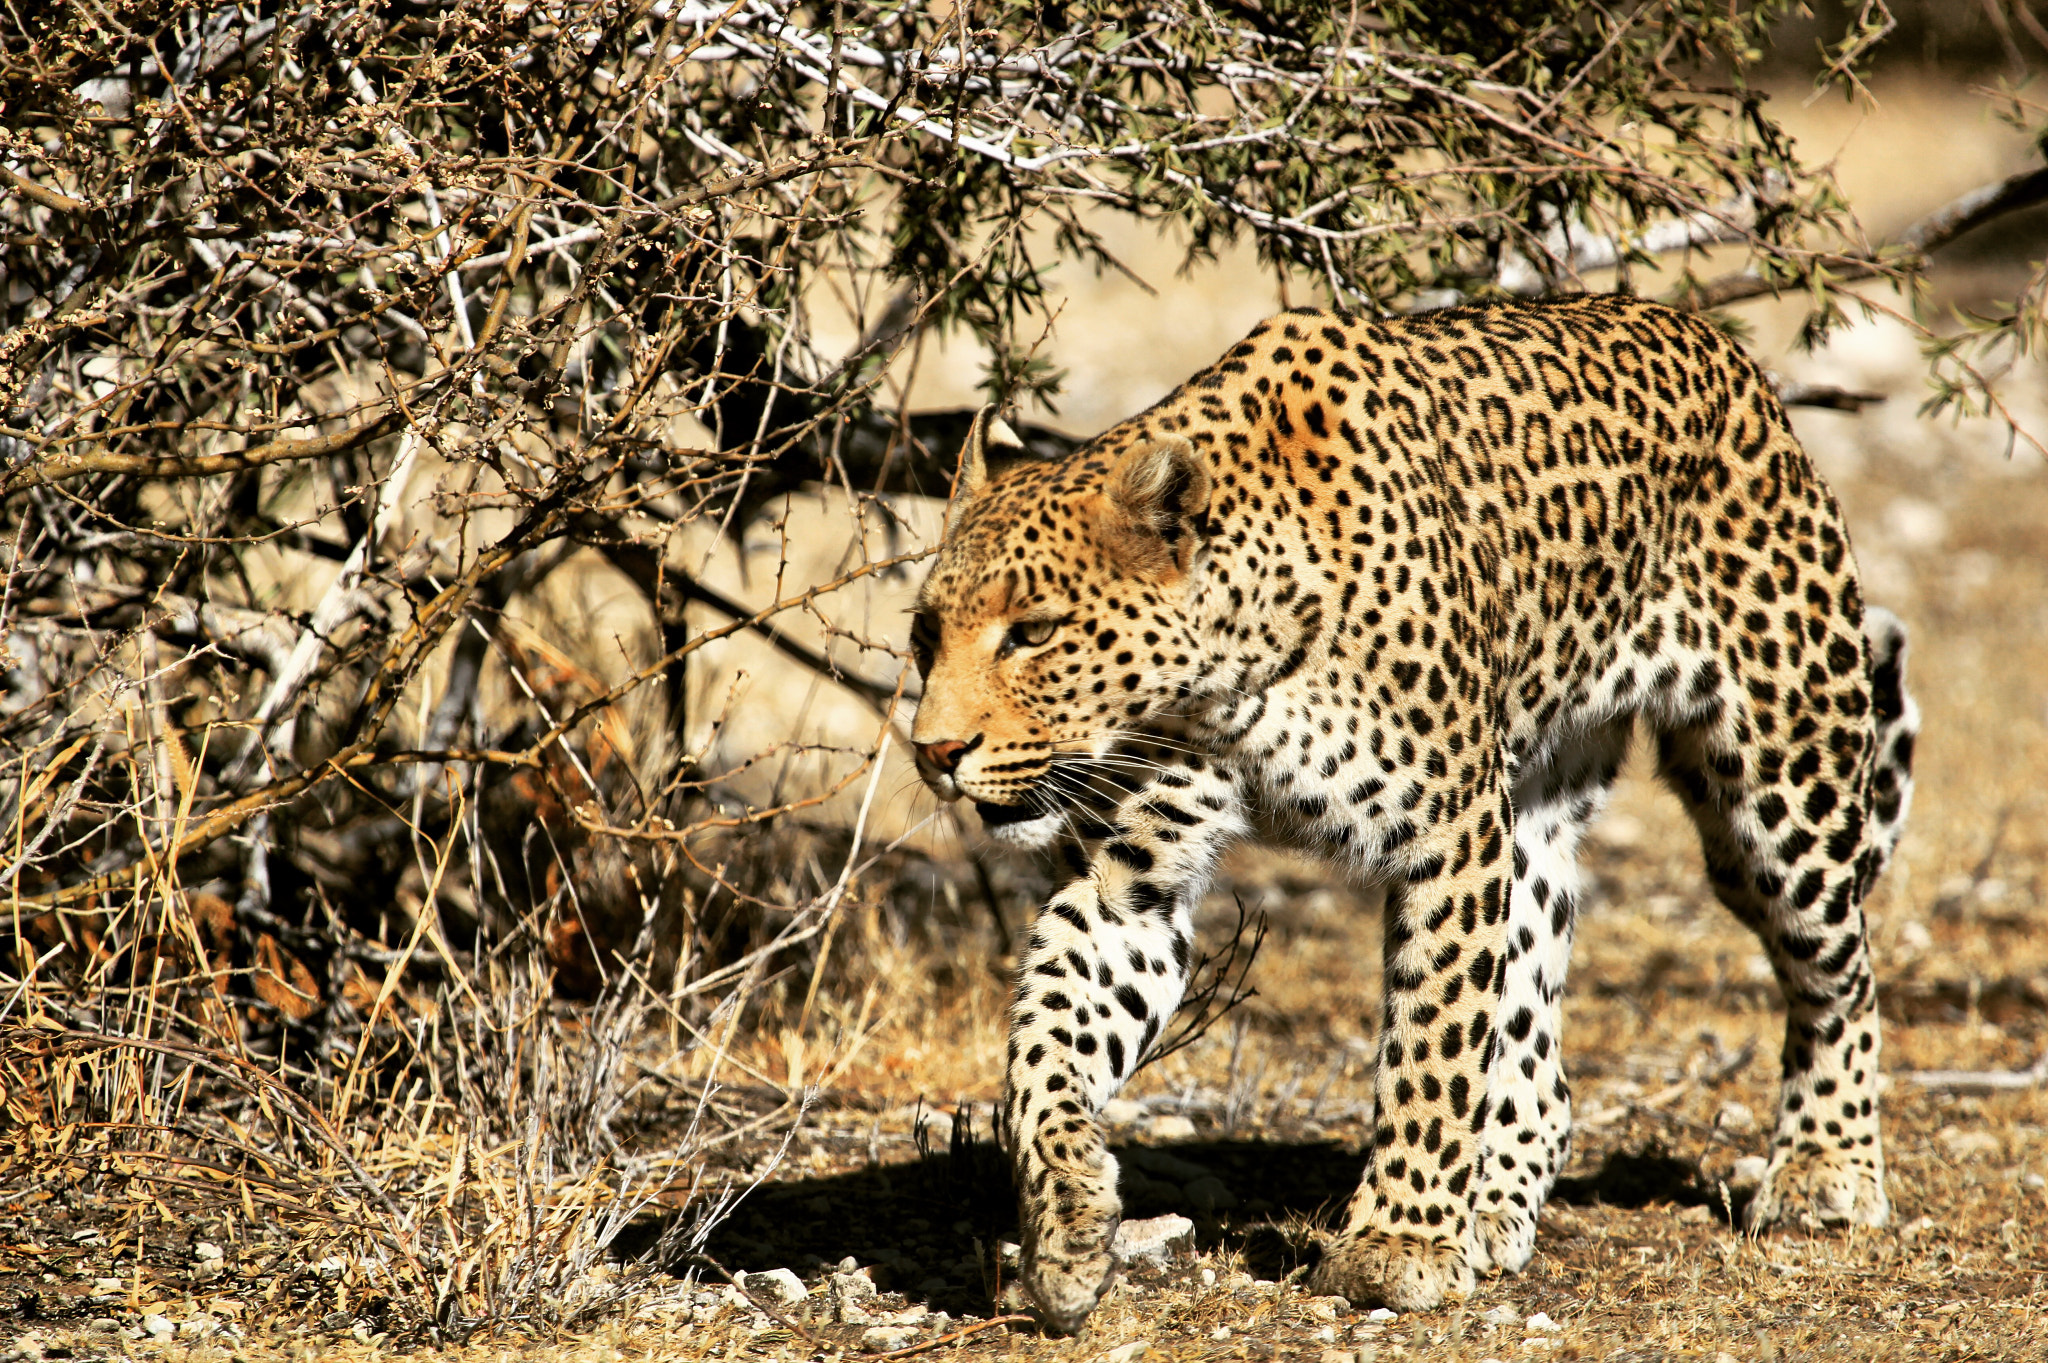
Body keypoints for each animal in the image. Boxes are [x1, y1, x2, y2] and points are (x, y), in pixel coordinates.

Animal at [905, 294, 1908, 1326]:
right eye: (924, 634)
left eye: (1033, 633)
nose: (933, 751)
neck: (1231, 674)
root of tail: (1720, 348)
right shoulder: (1132, 880)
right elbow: (1045, 1044)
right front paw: (1066, 1228)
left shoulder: (1451, 835)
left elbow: (1434, 1041)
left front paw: (1399, 1242)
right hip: (1535, 813)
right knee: (1539, 1051)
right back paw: (1497, 1201)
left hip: (1780, 788)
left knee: (1839, 971)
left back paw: (1827, 1167)